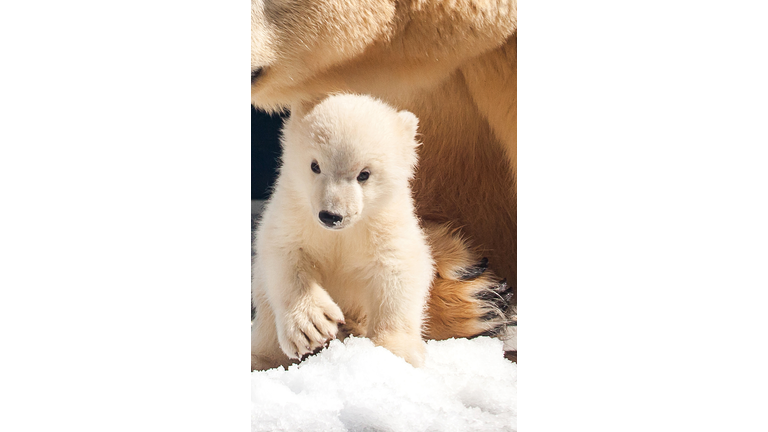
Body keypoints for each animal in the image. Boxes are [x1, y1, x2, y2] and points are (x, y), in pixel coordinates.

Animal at [252, 94, 435, 370]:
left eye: (364, 174)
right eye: (315, 165)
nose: (331, 215)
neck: (341, 233)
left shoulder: (385, 224)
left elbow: (399, 271)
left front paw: (396, 352)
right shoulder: (293, 213)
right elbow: (283, 253)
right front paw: (312, 325)